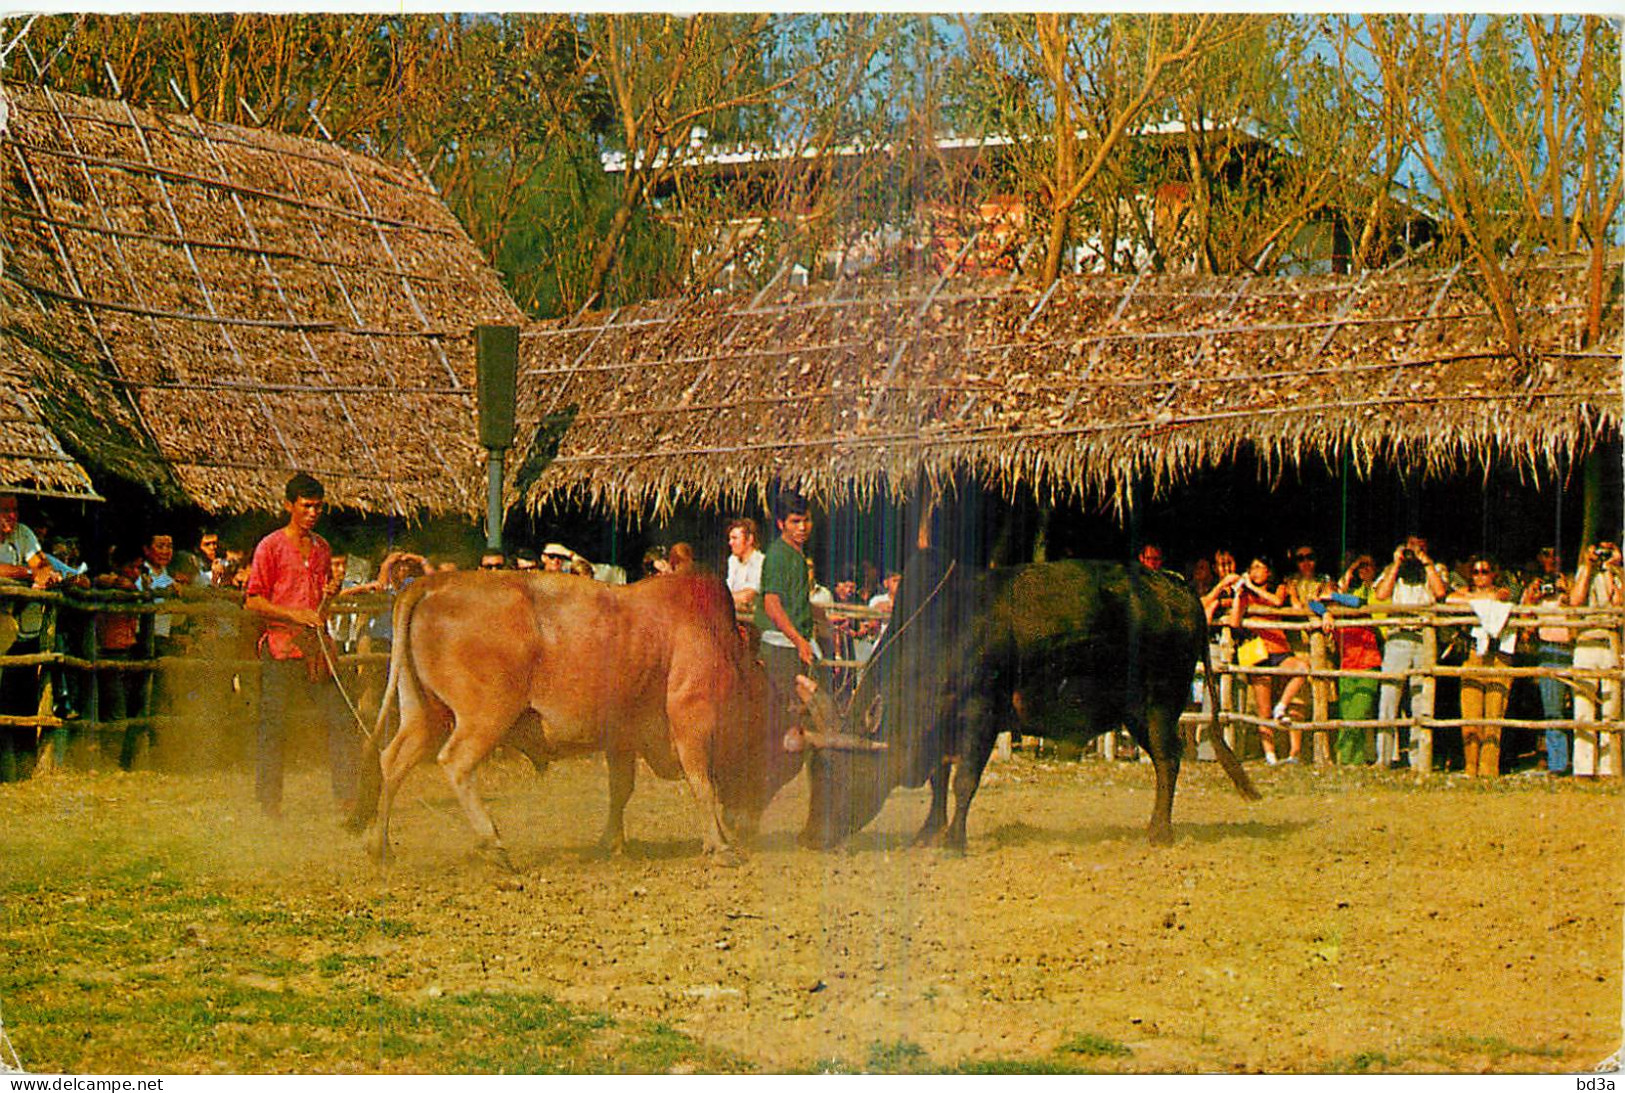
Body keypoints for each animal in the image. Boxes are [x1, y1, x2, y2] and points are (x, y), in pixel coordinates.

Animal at [359, 571, 809, 864]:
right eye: (779, 765)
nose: (747, 828)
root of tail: (433, 583)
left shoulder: (623, 739)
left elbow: (620, 790)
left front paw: (612, 841)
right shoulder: (691, 723)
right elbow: (702, 785)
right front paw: (720, 846)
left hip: (425, 713)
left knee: (392, 761)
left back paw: (378, 844)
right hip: (483, 717)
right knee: (456, 763)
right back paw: (492, 842)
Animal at [799, 548, 1254, 851]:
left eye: (836, 769)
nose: (809, 836)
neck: (945, 633)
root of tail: (1178, 589)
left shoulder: (980, 716)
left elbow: (963, 780)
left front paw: (953, 840)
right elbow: (939, 780)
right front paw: (928, 832)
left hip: (1159, 706)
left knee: (1167, 760)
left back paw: (1159, 831)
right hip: (1139, 713)